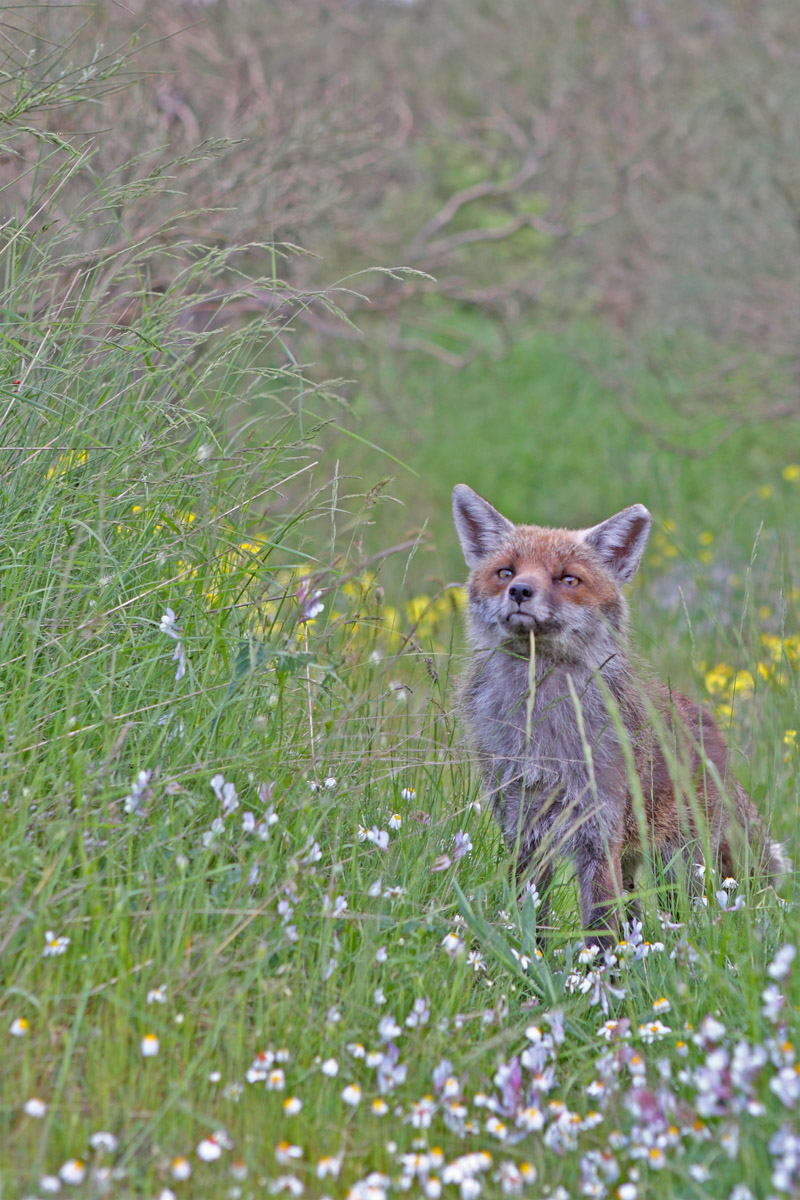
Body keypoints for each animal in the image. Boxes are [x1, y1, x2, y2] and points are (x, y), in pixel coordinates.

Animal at [453, 482, 786, 940]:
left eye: (568, 579)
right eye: (506, 571)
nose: (519, 591)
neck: (544, 735)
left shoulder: (599, 831)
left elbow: (601, 931)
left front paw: (597, 963)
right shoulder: (523, 827)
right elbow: (530, 918)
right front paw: (529, 955)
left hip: (684, 866)